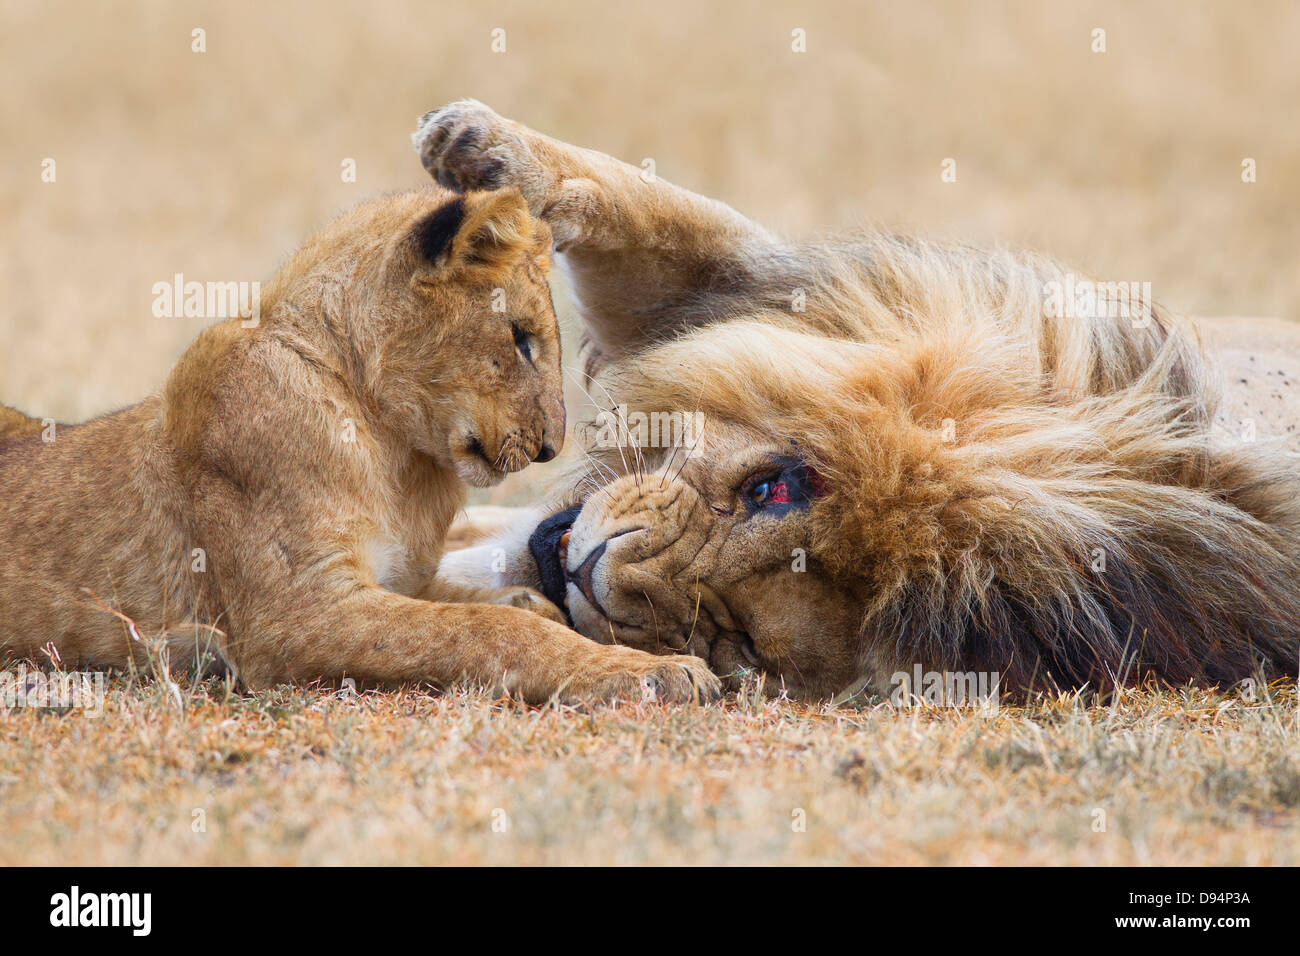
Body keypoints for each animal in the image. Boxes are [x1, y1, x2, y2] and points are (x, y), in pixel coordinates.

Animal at [0, 184, 719, 703]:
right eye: (519, 338)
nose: (550, 447)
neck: (398, 453)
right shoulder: (297, 615)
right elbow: (484, 629)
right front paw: (652, 671)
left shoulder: (403, 577)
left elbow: (484, 602)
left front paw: (541, 606)